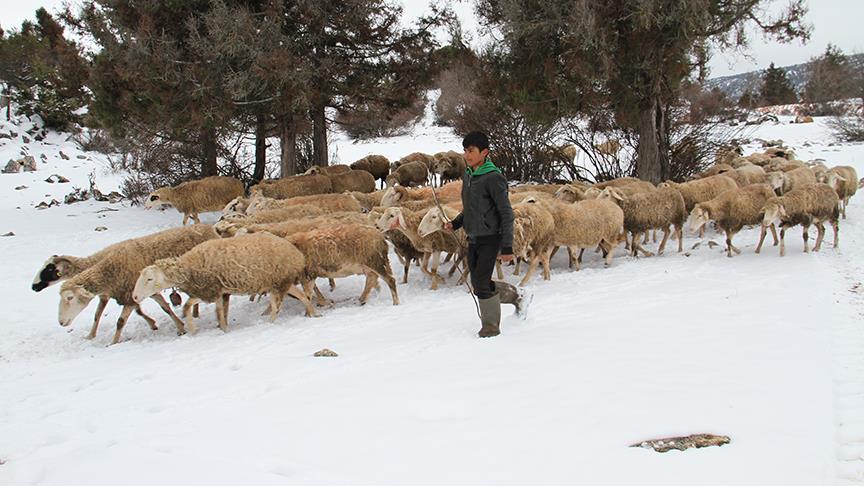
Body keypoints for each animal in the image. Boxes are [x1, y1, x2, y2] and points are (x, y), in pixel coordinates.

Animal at [58, 224, 219, 344]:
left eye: (69, 298)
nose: (61, 323)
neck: (110, 270)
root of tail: (210, 228)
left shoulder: (129, 295)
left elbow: (120, 322)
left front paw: (113, 343)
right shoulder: (140, 292)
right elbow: (164, 308)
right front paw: (179, 326)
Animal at [133, 233, 317, 332]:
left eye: (149, 279)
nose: (134, 297)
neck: (189, 268)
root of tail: (297, 255)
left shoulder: (211, 290)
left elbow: (198, 308)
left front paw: (200, 329)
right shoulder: (217, 291)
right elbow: (213, 310)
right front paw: (218, 328)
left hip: (278, 282)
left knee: (277, 307)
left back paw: (271, 324)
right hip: (279, 282)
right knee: (301, 296)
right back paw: (312, 313)